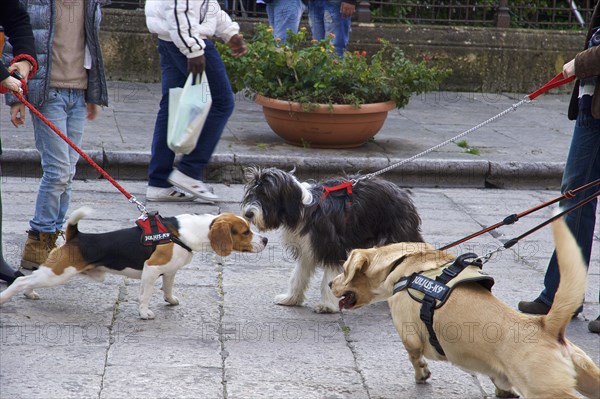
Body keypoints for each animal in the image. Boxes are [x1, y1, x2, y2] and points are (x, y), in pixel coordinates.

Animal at [0, 208, 268, 320]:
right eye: (245, 232)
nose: (265, 240)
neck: (187, 232)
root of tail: (77, 235)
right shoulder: (152, 269)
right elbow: (145, 295)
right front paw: (144, 312)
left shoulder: (169, 270)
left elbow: (167, 287)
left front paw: (170, 300)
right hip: (58, 273)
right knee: (22, 279)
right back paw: (6, 297)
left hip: (54, 273)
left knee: (30, 280)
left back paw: (30, 293)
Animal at [239, 167, 422, 314]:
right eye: (252, 193)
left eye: (266, 195)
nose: (248, 213)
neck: (301, 209)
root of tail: (403, 194)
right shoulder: (307, 248)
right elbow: (298, 275)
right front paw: (291, 298)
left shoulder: (332, 247)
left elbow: (328, 278)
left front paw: (327, 305)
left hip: (399, 237)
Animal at [330, 219, 596, 399]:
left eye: (343, 269)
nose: (331, 283)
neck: (402, 262)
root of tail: (546, 326)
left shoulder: (410, 337)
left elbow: (415, 357)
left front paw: (421, 373)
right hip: (589, 376)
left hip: (547, 390)